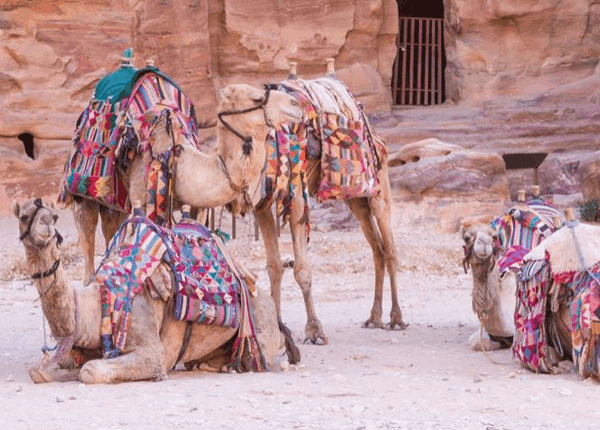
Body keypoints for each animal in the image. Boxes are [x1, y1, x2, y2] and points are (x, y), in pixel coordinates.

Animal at [12, 197, 294, 382]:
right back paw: (212, 364)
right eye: (24, 216)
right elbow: (40, 371)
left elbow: (90, 370)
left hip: (259, 320)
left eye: (54, 216)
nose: (45, 226)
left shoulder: (152, 350)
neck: (97, 304)